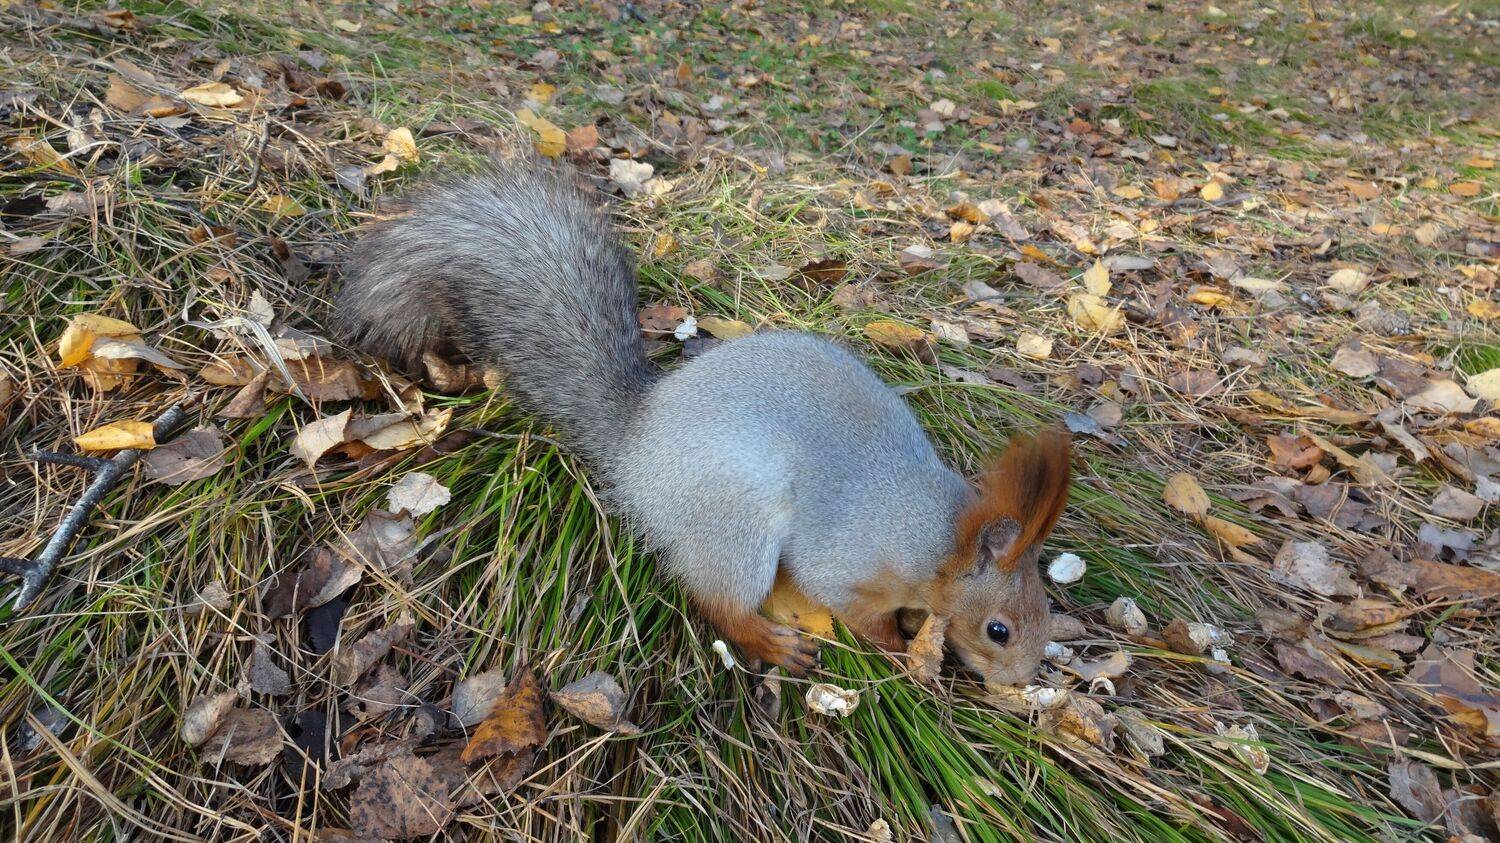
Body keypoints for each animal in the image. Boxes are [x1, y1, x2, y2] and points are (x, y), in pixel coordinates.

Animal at [336, 161, 1072, 687]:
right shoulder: (850, 558)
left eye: (1045, 613)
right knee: (715, 597)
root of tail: (636, 443)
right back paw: (767, 639)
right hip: (733, 520)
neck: (936, 534)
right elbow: (854, 609)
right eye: (1000, 629)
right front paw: (900, 648)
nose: (1019, 684)